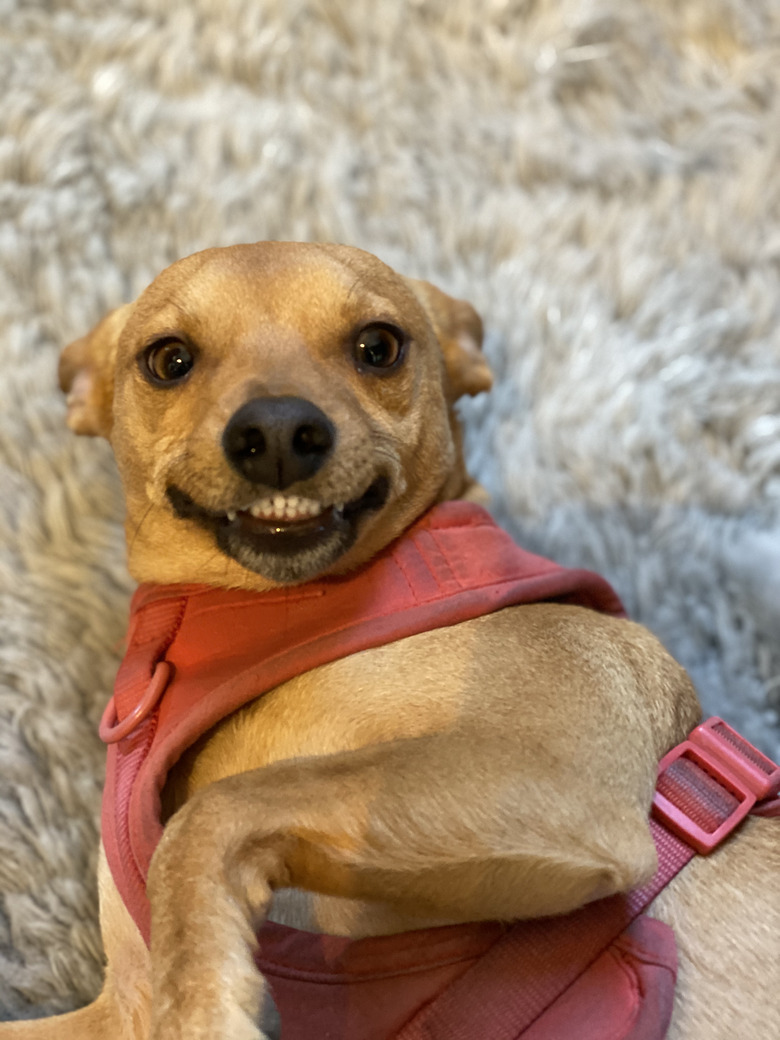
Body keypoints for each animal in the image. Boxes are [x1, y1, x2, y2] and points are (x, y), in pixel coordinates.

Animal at [3, 239, 777, 1035]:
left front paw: (201, 1004)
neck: (266, 619)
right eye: (168, 360)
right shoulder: (122, 1006)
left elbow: (209, 816)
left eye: (379, 347)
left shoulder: (558, 777)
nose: (277, 434)